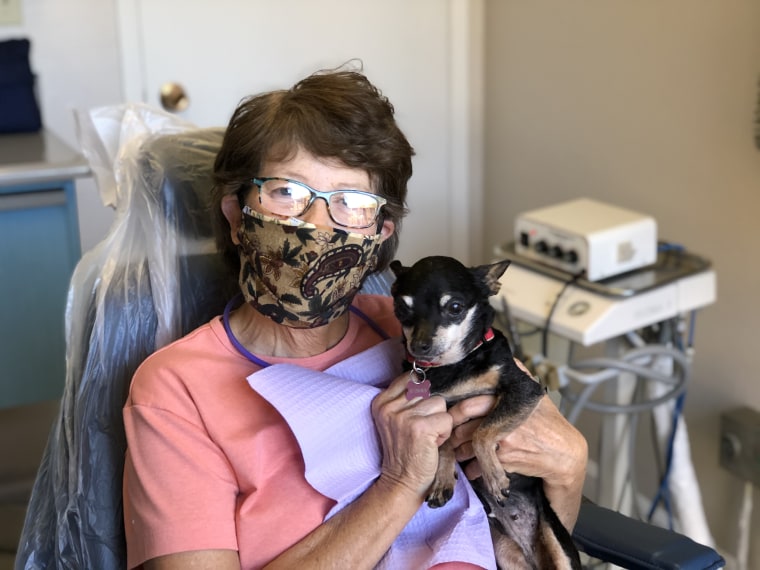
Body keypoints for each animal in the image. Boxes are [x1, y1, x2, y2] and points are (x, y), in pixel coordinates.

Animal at [392, 256, 580, 568]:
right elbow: (444, 445)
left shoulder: (524, 389)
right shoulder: (437, 409)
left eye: (455, 307)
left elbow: (482, 432)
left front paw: (493, 474)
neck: (454, 366)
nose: (419, 346)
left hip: (558, 545)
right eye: (401, 308)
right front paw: (443, 479)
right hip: (504, 552)